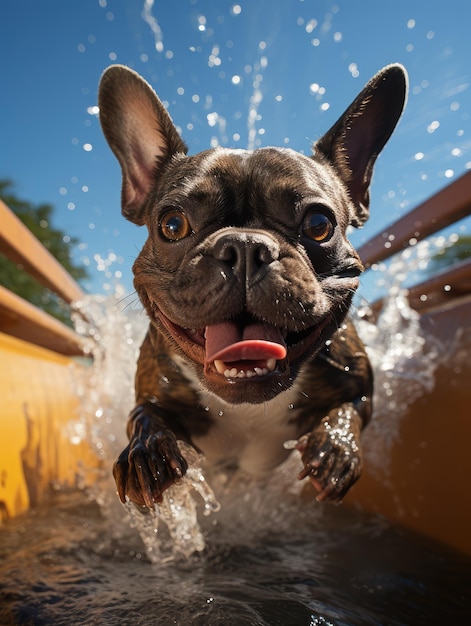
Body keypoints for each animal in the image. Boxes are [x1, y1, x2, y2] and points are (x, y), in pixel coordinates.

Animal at [97, 63, 408, 510]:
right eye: (172, 225)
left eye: (319, 224)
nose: (244, 246)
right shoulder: (150, 393)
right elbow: (143, 415)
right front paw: (147, 453)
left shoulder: (359, 384)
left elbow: (351, 408)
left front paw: (336, 447)